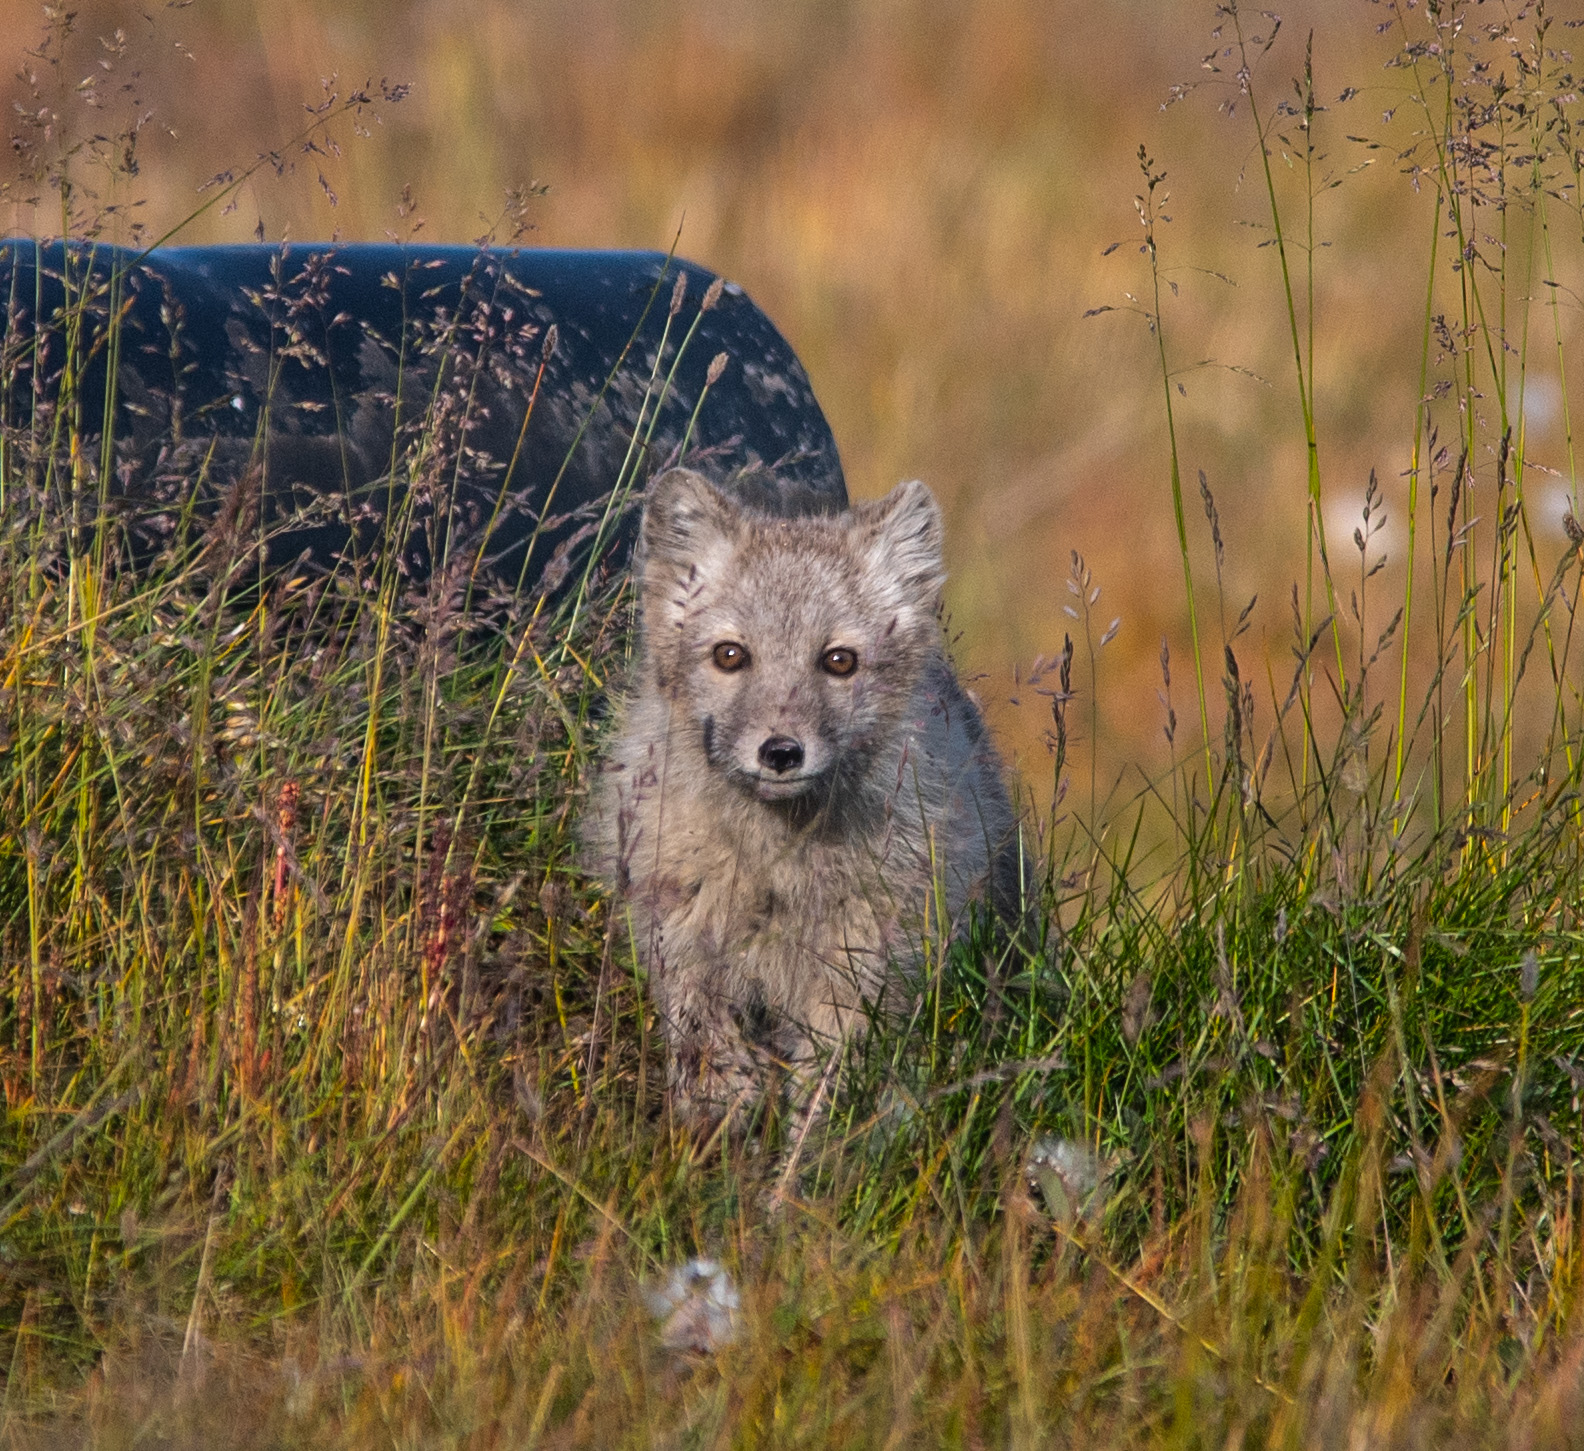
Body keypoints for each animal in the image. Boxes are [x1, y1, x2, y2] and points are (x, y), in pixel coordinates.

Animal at [586, 466, 1022, 1128]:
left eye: (839, 660)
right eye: (730, 654)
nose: (781, 752)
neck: (776, 868)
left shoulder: (862, 975)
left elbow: (830, 1082)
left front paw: (812, 1142)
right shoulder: (678, 933)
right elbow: (697, 1024)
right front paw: (721, 1093)